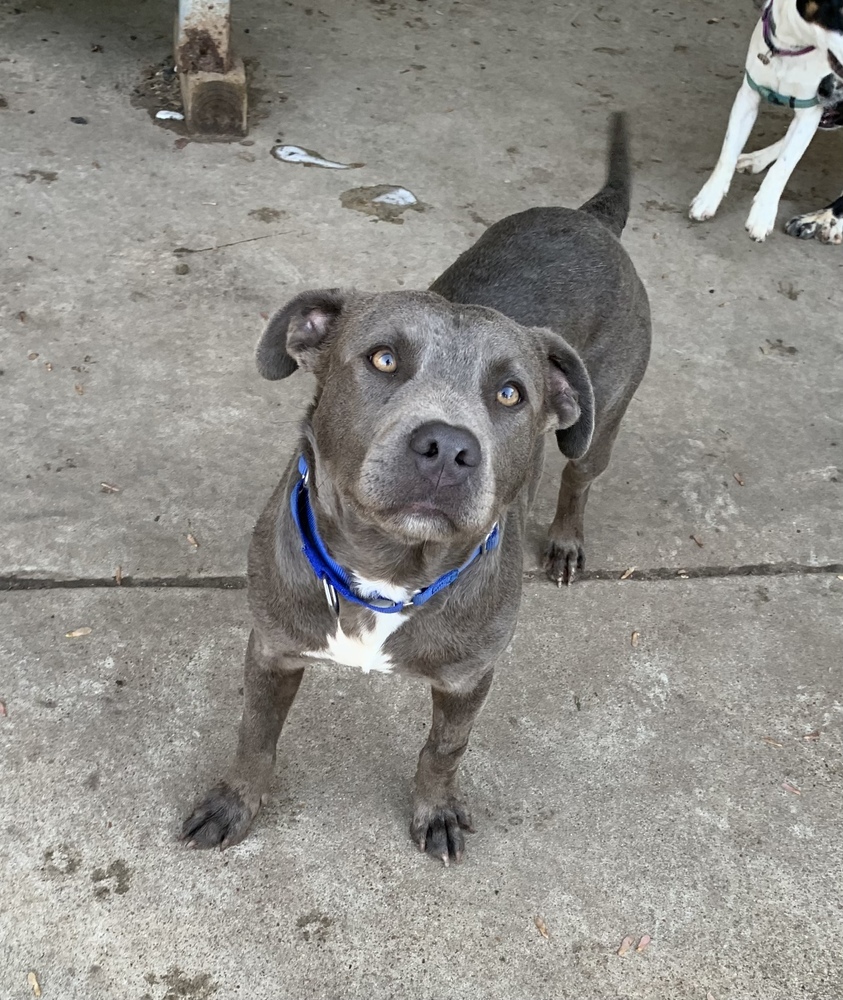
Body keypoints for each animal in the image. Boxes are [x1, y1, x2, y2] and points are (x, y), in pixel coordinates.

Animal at [181, 113, 648, 864]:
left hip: (601, 421)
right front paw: (234, 802)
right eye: (382, 358)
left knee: (579, 475)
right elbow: (255, 736)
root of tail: (587, 218)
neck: (387, 569)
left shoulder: (468, 680)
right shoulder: (272, 650)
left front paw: (435, 810)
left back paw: (565, 541)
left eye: (510, 393)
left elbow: (443, 750)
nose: (449, 448)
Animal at [692, 0, 843, 242]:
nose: (825, 87)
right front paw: (709, 197)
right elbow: (727, 154)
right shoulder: (748, 97)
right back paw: (757, 158)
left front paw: (763, 212)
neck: (792, 46)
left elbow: (783, 167)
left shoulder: (809, 113)